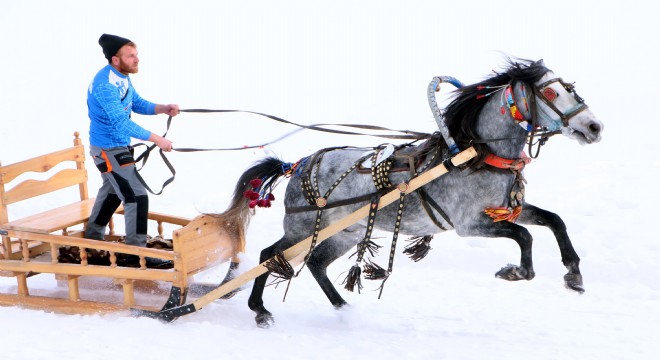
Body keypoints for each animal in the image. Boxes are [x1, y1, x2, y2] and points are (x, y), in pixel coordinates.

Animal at [218, 58, 604, 326]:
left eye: (570, 88)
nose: (594, 126)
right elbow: (524, 236)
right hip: (301, 230)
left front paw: (573, 273)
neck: (476, 155)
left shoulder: (505, 210)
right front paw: (516, 272)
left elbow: (554, 221)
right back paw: (259, 309)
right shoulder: (470, 225)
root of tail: (297, 165)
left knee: (315, 264)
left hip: (344, 233)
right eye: (551, 92)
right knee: (269, 255)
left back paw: (343, 307)